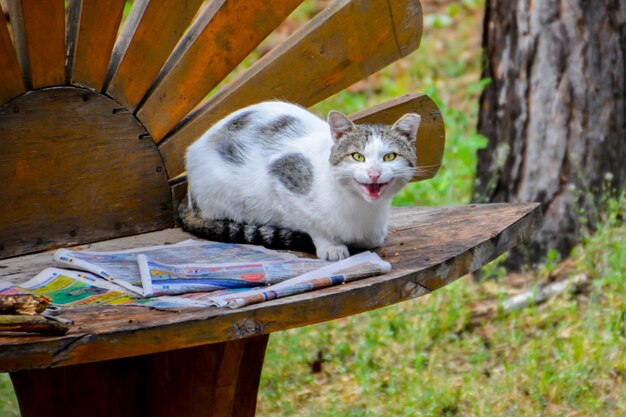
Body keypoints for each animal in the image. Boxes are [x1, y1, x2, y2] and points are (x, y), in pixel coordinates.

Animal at [178, 100, 420, 260]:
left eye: (389, 157)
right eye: (357, 156)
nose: (374, 173)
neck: (362, 209)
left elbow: (374, 238)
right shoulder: (282, 175)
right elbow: (312, 223)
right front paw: (330, 246)